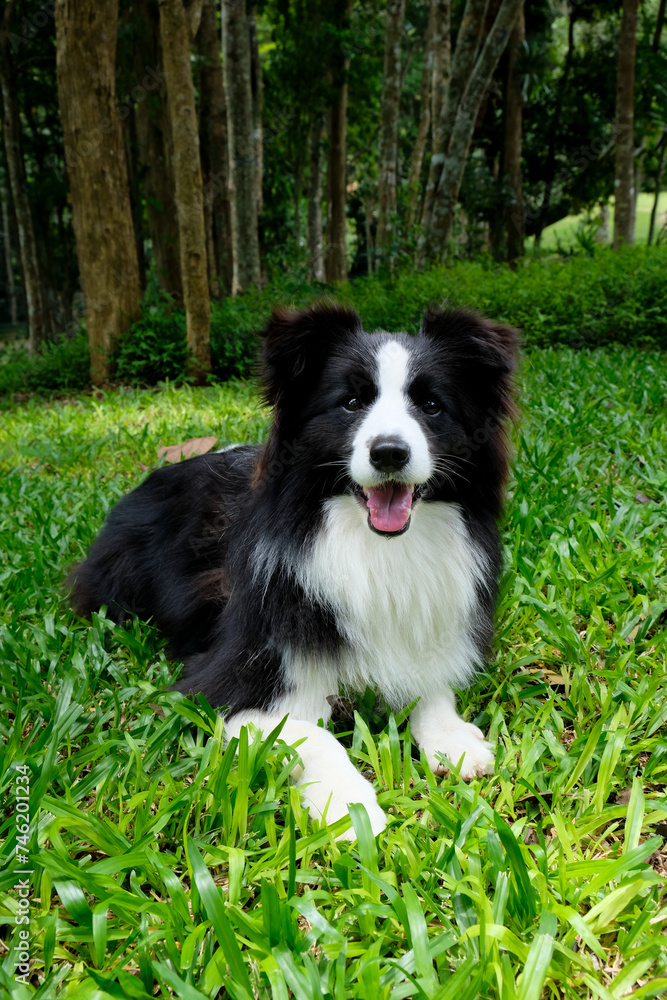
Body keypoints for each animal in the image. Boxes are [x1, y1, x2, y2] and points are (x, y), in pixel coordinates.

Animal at [69, 302, 516, 836]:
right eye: (350, 403)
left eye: (431, 406)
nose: (389, 452)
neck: (374, 546)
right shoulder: (225, 682)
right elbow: (306, 733)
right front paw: (350, 806)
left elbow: (429, 682)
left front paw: (453, 738)